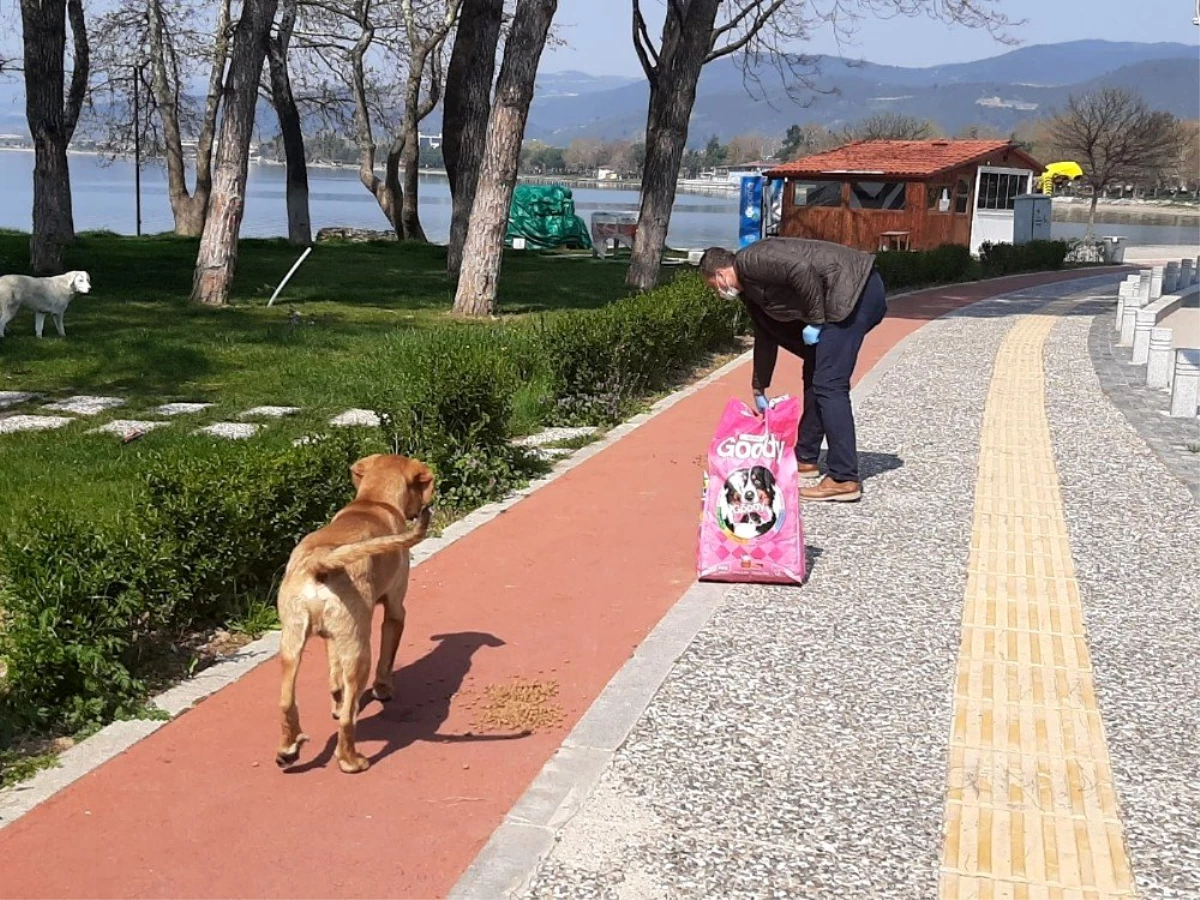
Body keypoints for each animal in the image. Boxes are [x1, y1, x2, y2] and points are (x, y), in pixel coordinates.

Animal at [274, 453, 436, 777]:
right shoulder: (395, 611)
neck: (373, 502)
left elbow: (334, 680)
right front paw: (384, 690)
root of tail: (320, 561)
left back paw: (288, 749)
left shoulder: (333, 637)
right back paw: (350, 760)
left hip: (292, 645)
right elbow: (387, 660)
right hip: (360, 652)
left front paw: (335, 703)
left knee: (286, 701)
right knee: (350, 718)